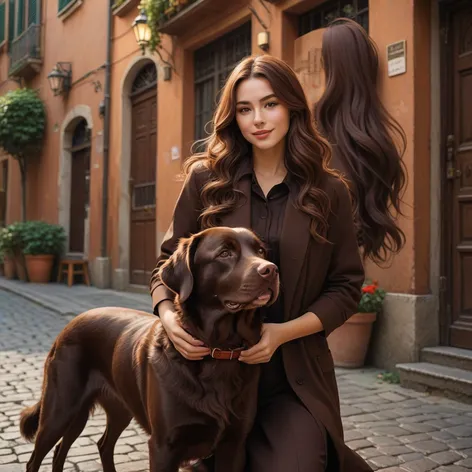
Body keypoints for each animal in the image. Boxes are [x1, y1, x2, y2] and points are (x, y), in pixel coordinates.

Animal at [20, 227, 280, 470]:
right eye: (225, 253)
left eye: (260, 251)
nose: (271, 269)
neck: (217, 350)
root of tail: (69, 325)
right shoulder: (163, 446)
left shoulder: (234, 443)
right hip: (61, 409)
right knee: (36, 458)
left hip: (112, 408)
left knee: (94, 445)